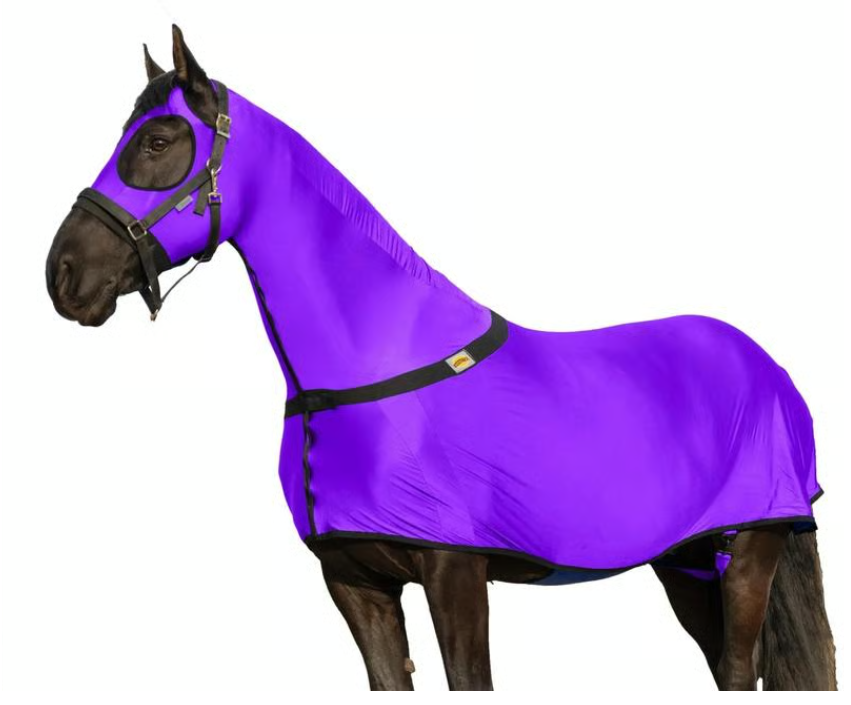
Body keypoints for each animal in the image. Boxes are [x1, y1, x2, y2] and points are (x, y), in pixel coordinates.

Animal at [45, 26, 836, 690]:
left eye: (158, 141)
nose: (64, 276)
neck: (372, 363)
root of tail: (765, 364)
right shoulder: (355, 582)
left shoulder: (455, 573)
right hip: (688, 562)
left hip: (750, 548)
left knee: (738, 669)